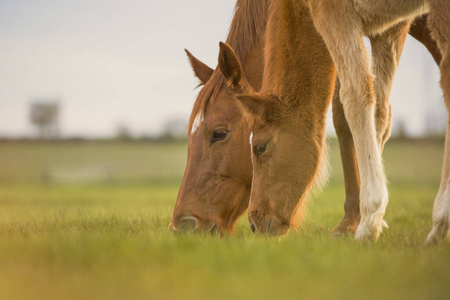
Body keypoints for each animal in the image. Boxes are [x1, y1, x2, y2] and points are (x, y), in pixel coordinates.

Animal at [171, 1, 442, 238]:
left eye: (219, 133)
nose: (181, 225)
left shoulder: (388, 26)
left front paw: (361, 221)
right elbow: (344, 116)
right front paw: (352, 221)